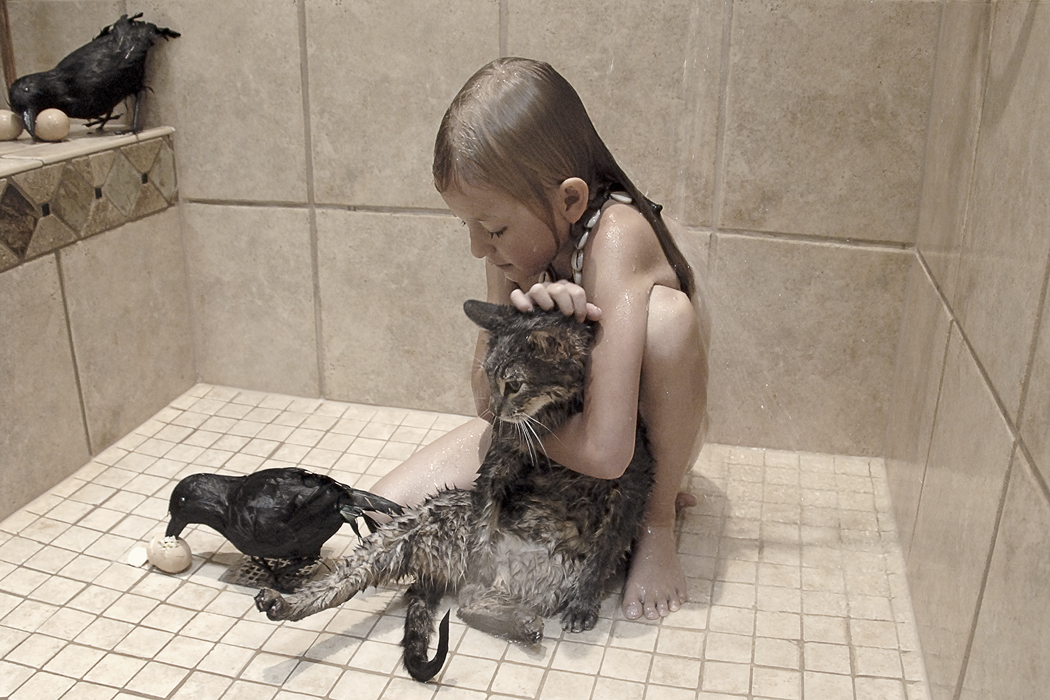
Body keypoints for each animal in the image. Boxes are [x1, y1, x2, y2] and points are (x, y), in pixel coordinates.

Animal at [254, 298, 651, 680]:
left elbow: (607, 548)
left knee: (468, 601)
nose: (494, 410)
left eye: (514, 384)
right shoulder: (496, 463)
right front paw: (482, 559)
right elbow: (485, 519)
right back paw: (281, 603)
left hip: (555, 573)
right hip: (420, 521)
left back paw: (520, 618)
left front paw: (584, 603)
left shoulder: (630, 476)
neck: (556, 417)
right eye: (488, 378)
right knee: (383, 583)